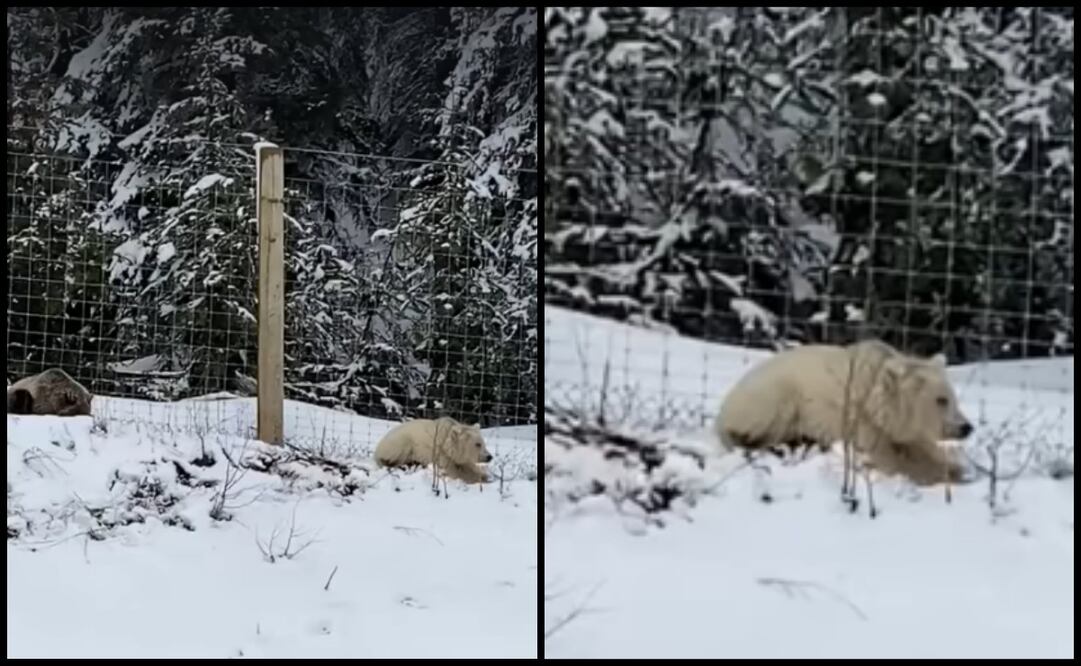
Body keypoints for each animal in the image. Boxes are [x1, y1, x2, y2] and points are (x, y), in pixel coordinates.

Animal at [714, 339, 973, 486]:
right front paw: (940, 473)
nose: (966, 427)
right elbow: (890, 460)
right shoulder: (860, 421)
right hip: (775, 395)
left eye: (953, 397)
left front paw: (954, 466)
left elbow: (919, 446)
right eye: (941, 400)